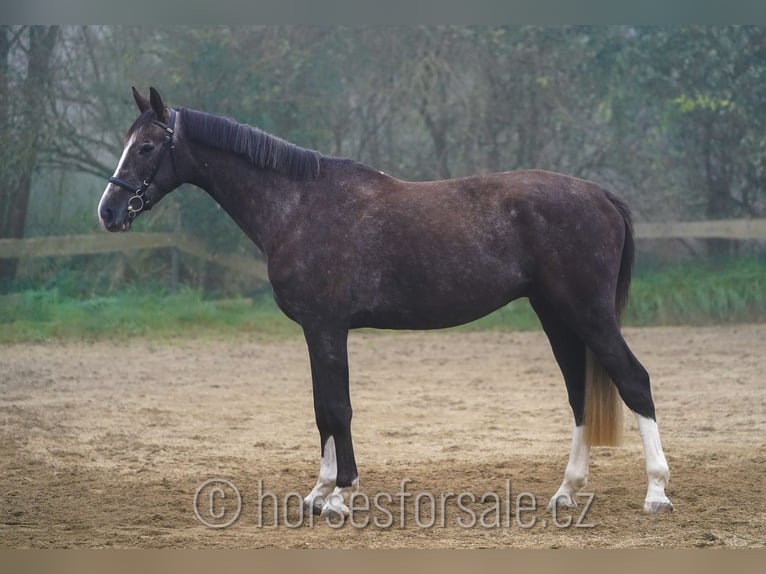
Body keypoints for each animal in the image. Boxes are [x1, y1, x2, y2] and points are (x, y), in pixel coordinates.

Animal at [96, 86, 672, 520]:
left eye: (146, 147)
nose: (109, 211)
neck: (299, 205)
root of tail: (601, 195)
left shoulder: (326, 326)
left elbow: (337, 407)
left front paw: (340, 495)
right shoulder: (316, 330)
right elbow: (322, 407)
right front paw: (319, 493)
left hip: (588, 314)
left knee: (634, 380)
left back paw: (656, 492)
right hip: (556, 316)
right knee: (579, 392)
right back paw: (566, 491)